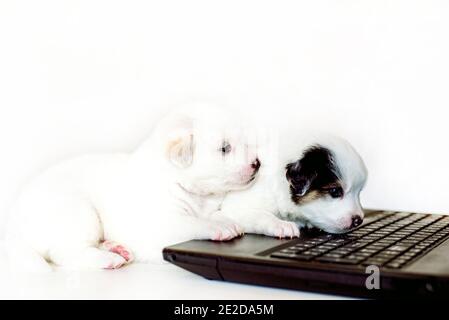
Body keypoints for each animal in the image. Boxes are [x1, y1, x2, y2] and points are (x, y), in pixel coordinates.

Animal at [5, 104, 260, 270]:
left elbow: (218, 214)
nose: (257, 164)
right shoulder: (161, 223)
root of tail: (15, 224)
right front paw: (220, 227)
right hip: (77, 214)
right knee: (66, 253)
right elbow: (192, 222)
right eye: (225, 148)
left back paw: (116, 248)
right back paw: (108, 259)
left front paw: (226, 220)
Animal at [218, 129, 368, 238]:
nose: (359, 220)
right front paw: (282, 225)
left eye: (359, 192)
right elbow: (261, 215)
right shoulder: (235, 210)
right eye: (335, 191)